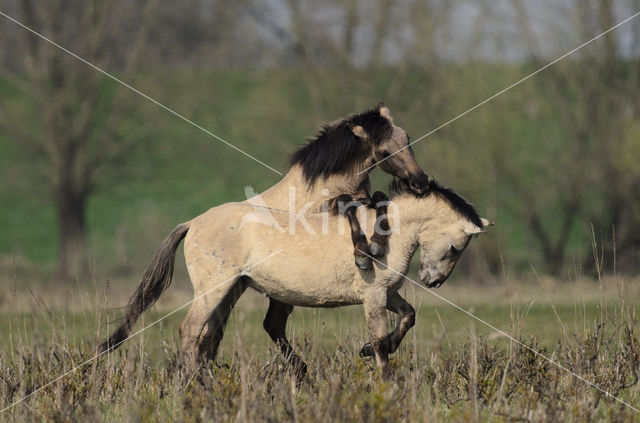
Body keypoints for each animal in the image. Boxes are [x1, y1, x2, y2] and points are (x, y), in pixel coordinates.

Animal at [100, 181, 492, 380]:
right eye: (457, 247)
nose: (433, 280)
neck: (387, 232)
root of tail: (193, 222)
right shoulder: (373, 297)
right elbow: (383, 342)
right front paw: (384, 379)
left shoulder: (388, 295)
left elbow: (409, 317)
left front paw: (365, 352)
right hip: (214, 289)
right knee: (190, 331)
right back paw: (196, 383)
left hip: (231, 290)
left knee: (209, 336)